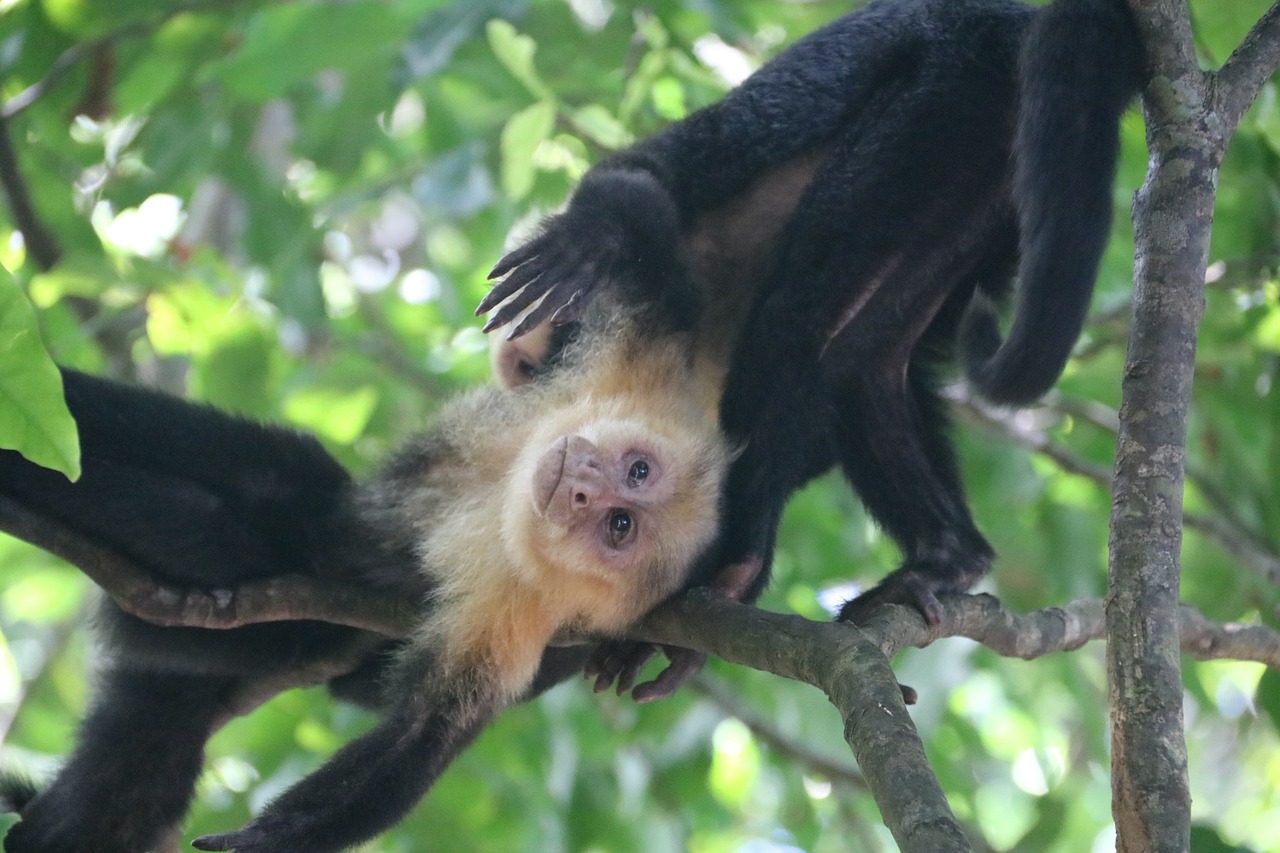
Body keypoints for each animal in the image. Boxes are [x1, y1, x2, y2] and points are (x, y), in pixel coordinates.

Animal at [483, 0, 1146, 696]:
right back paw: (950, 558)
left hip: (940, 101)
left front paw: (593, 235)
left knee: (795, 317)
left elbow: (648, 180)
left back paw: (737, 573)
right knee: (864, 361)